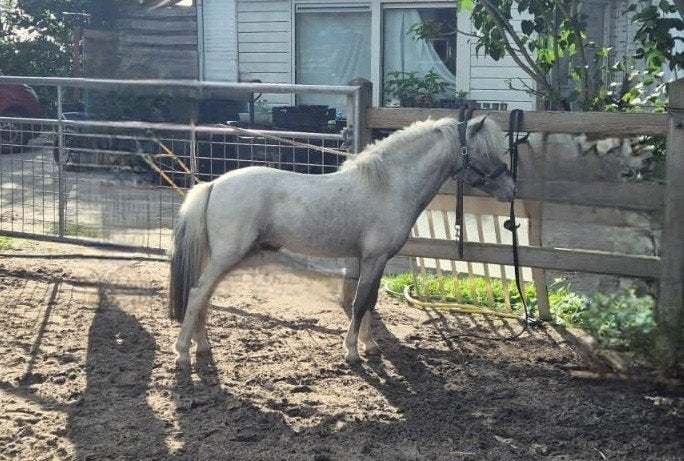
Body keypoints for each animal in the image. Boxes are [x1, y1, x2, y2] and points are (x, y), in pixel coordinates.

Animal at [168, 115, 516, 366]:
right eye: (484, 151)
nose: (510, 189)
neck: (388, 186)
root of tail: (212, 185)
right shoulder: (374, 258)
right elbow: (360, 303)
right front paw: (351, 352)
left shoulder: (376, 260)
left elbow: (371, 302)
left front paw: (370, 346)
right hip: (227, 256)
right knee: (197, 294)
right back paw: (183, 353)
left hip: (225, 258)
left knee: (203, 296)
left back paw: (202, 347)